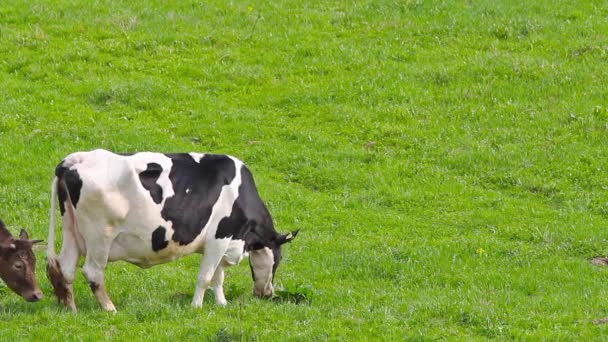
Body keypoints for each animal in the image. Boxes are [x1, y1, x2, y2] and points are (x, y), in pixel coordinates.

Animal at [46, 148, 298, 312]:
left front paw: (221, 304)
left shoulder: (221, 243)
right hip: (100, 236)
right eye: (278, 259)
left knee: (65, 268)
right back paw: (110, 308)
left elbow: (218, 276)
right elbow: (206, 276)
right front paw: (196, 307)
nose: (267, 293)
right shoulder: (220, 236)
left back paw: (71, 309)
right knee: (93, 271)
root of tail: (75, 160)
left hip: (71, 230)